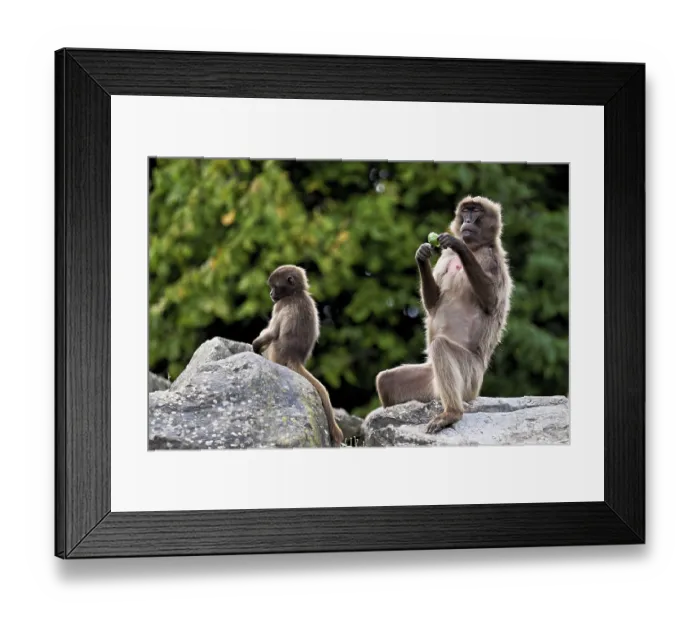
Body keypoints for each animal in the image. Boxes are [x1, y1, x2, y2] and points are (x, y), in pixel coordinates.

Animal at [252, 265, 345, 447]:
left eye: (274, 286)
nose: (271, 294)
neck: (297, 293)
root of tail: (295, 358)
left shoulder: (280, 304)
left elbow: (272, 333)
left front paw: (255, 345)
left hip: (276, 352)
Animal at [375, 195, 512, 433]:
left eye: (476, 211)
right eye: (466, 211)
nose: (467, 220)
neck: (477, 248)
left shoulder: (492, 258)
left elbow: (491, 301)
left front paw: (460, 245)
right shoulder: (446, 257)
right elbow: (433, 303)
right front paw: (422, 256)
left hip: (470, 377)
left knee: (440, 347)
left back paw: (452, 413)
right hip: (430, 381)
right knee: (386, 382)